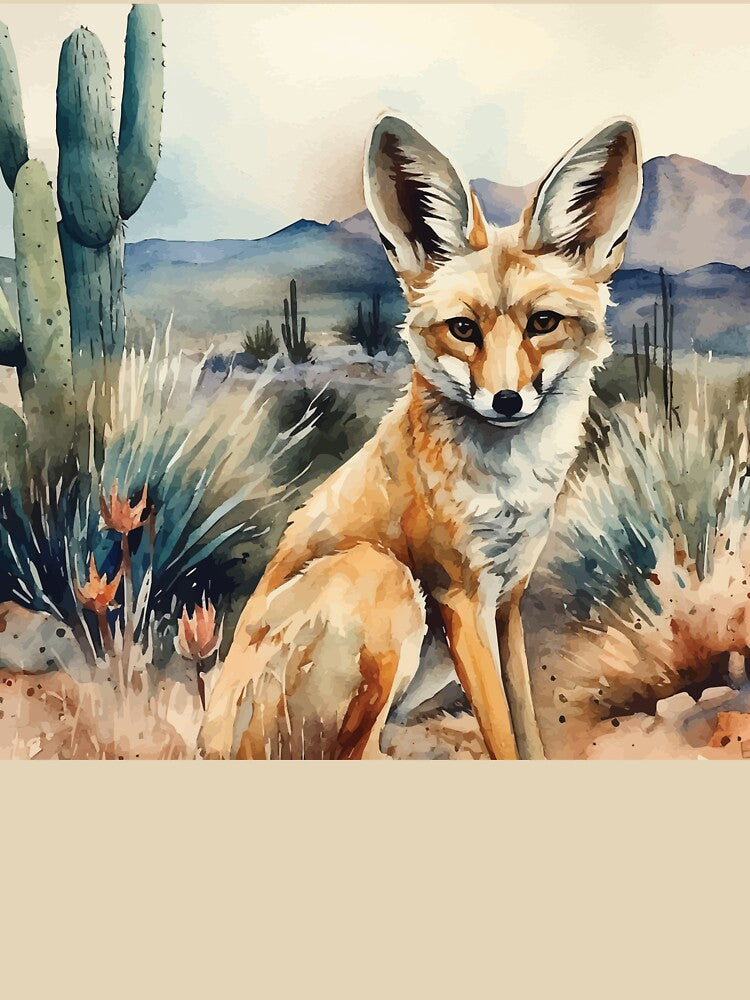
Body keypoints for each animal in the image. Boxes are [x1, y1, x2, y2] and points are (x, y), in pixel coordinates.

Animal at [199, 112, 643, 760]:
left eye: (542, 323)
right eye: (462, 329)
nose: (506, 400)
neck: (509, 484)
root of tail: (205, 743)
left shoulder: (508, 601)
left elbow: (526, 730)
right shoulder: (461, 598)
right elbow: (502, 737)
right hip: (384, 580)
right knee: (354, 756)